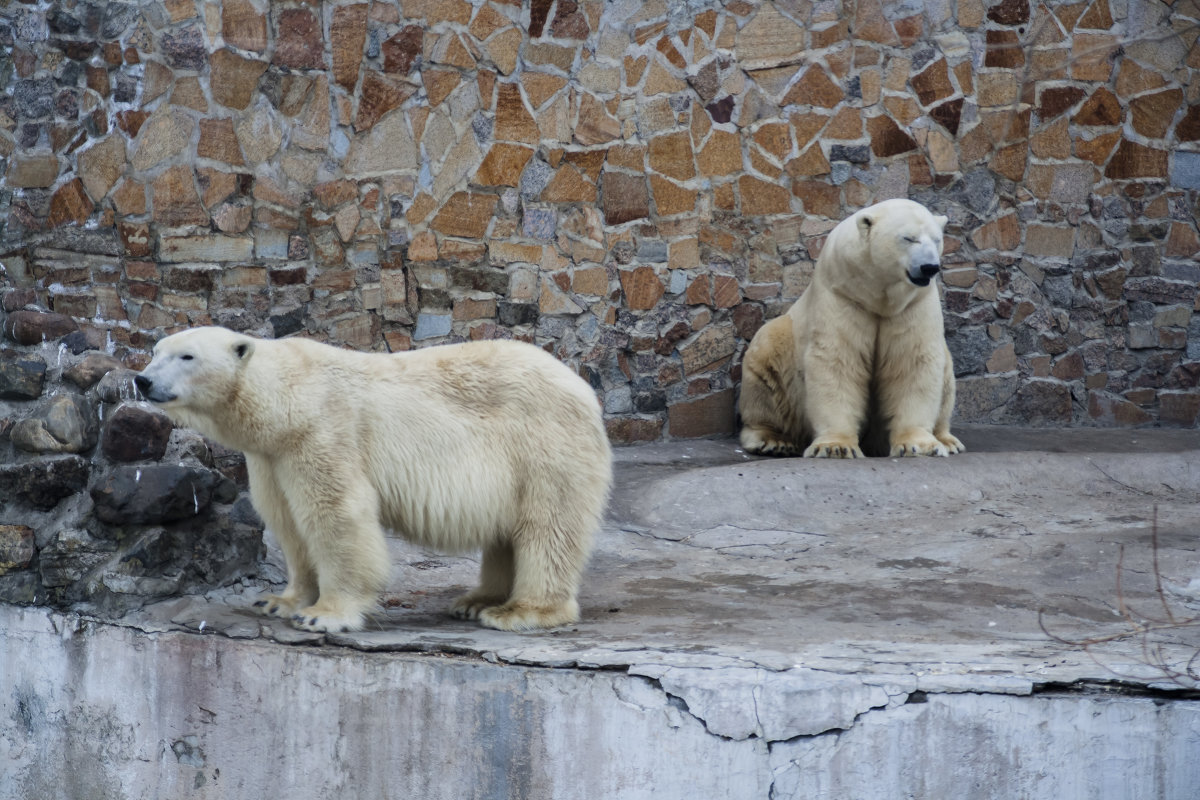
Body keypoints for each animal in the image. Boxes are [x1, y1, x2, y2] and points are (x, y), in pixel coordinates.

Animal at [136, 326, 614, 633]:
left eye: (187, 356)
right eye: (156, 350)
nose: (142, 380)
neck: (289, 398)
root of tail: (583, 389)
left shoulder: (323, 433)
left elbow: (336, 516)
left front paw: (324, 614)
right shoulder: (271, 457)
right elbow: (289, 524)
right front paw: (279, 601)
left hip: (543, 445)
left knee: (548, 527)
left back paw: (518, 612)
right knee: (508, 533)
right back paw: (477, 601)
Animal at [739, 199, 964, 460]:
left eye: (937, 240)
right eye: (909, 238)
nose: (929, 267)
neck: (877, 296)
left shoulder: (914, 303)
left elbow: (912, 360)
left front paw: (921, 445)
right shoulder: (842, 295)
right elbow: (838, 360)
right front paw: (835, 446)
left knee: (946, 374)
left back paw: (948, 440)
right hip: (782, 350)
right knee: (765, 370)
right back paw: (773, 440)